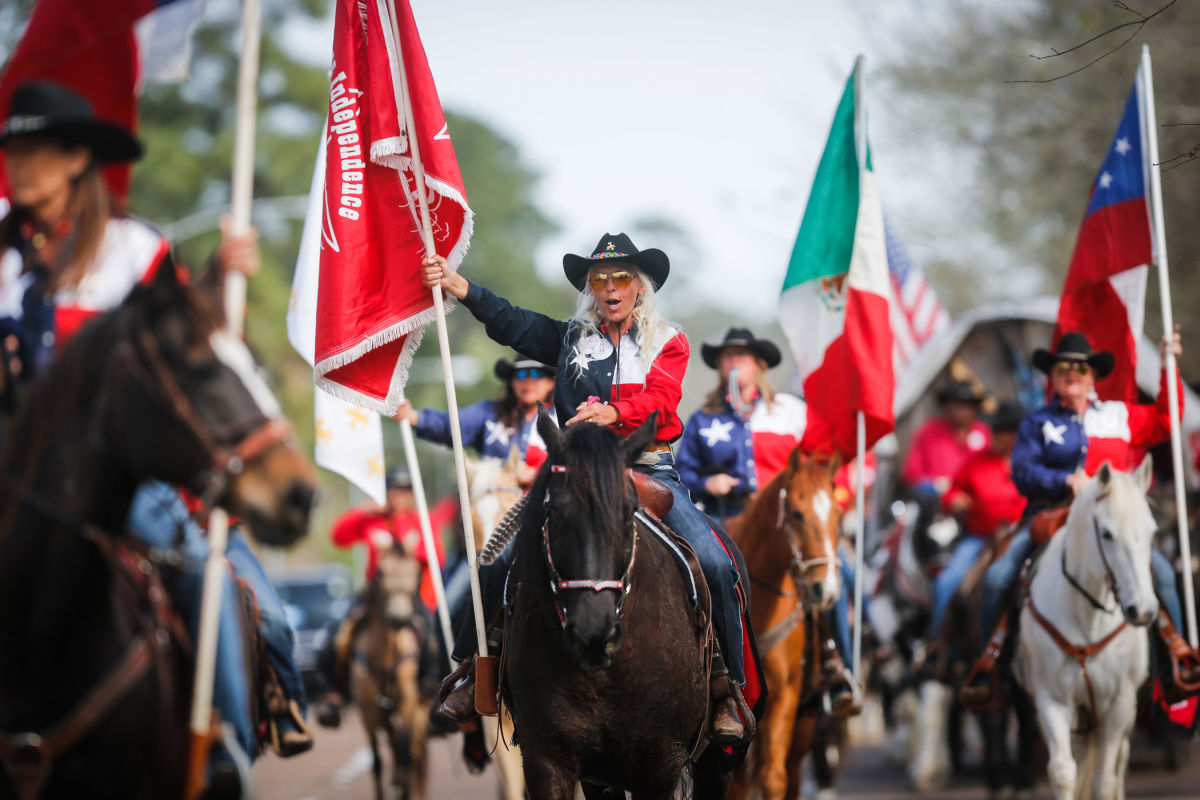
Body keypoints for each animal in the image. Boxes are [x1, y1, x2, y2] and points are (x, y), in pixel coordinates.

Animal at [350, 544, 432, 800]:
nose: (399, 618)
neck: (386, 653)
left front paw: (405, 791)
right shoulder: (368, 711)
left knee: (412, 753)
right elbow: (377, 761)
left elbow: (405, 754)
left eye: (416, 573)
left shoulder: (408, 705)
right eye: (381, 573)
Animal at [1017, 455, 1156, 800]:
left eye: (1151, 531)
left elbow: (1104, 781)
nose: (1143, 611)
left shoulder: (1120, 703)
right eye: (1106, 534)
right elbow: (1063, 772)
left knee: (1120, 761)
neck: (1087, 617)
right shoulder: (1051, 699)